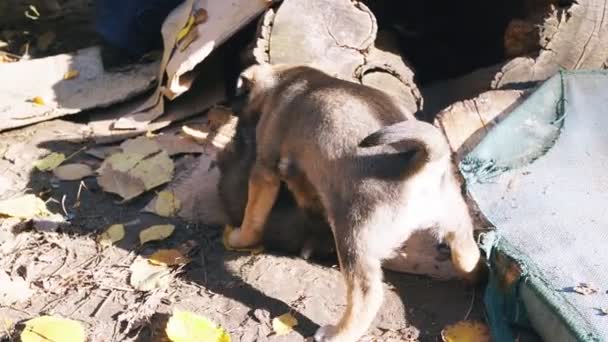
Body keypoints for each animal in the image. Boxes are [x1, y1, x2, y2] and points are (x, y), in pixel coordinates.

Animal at [227, 64, 480, 342]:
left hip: (354, 238)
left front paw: (237, 238)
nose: (233, 117)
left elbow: (253, 216)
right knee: (469, 253)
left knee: (367, 294)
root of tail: (420, 164)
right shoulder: (303, 174)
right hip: (455, 220)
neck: (285, 80)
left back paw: (338, 333)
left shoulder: (265, 171)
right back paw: (474, 278)